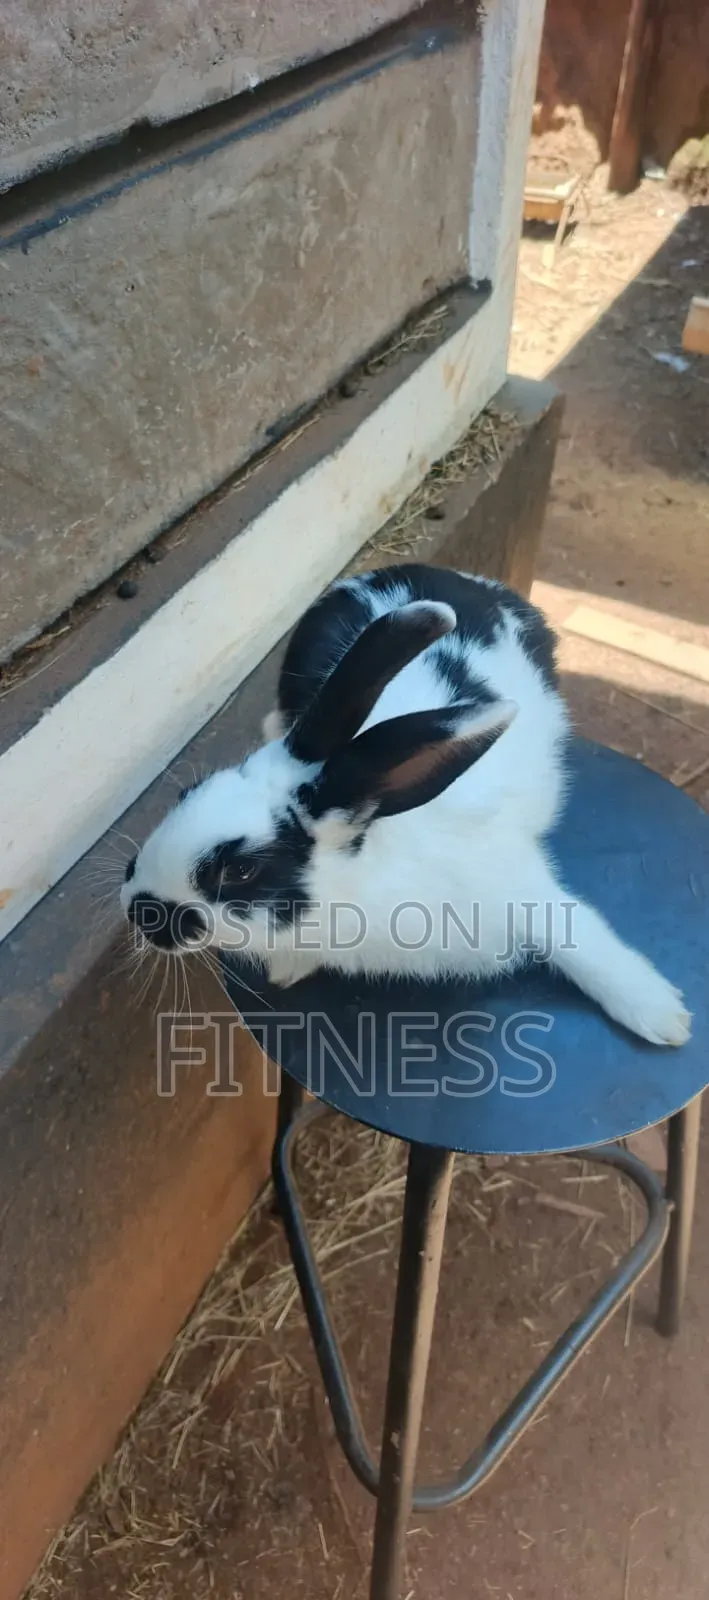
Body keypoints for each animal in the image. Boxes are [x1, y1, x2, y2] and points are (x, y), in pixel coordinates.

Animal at [121, 563, 690, 1047]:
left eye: (239, 870)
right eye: (187, 793)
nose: (135, 903)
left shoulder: (519, 889)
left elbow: (578, 938)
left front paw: (665, 1017)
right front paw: (289, 967)